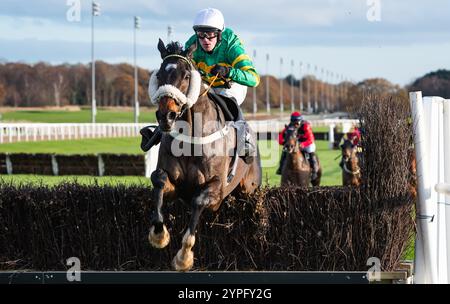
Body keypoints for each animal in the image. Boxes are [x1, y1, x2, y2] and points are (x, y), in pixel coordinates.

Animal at [146, 39, 262, 270]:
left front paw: (184, 256)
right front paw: (159, 234)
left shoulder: (216, 189)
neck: (191, 138)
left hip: (249, 188)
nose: (166, 116)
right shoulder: (176, 186)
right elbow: (159, 180)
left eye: (186, 76)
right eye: (159, 75)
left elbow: (198, 201)